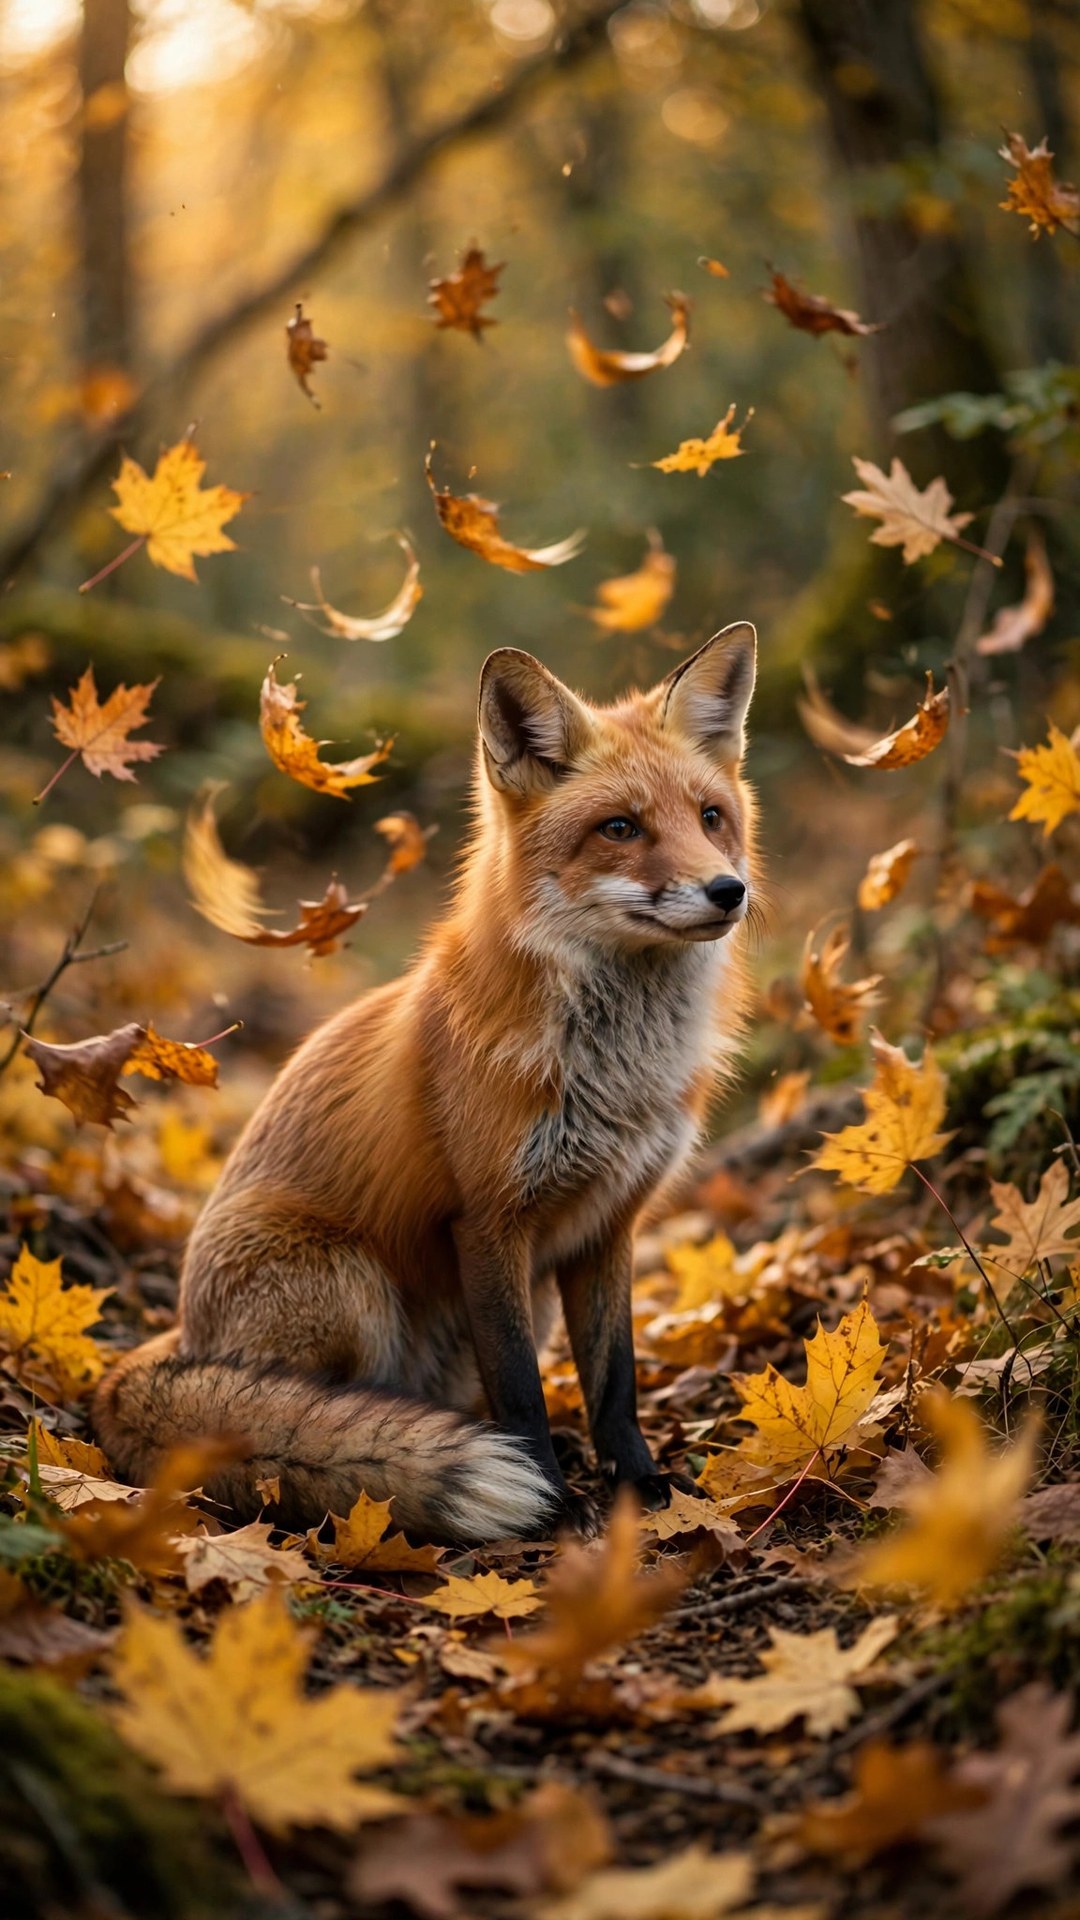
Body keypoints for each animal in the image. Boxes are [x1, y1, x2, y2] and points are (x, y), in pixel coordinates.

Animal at [94, 624, 759, 1542]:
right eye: (620, 827)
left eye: (710, 817)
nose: (729, 891)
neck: (615, 1070)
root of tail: (180, 1336)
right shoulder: (488, 1220)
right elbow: (520, 1389)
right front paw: (551, 1501)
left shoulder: (609, 1225)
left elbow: (614, 1382)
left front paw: (642, 1487)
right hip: (351, 1285)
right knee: (282, 1411)